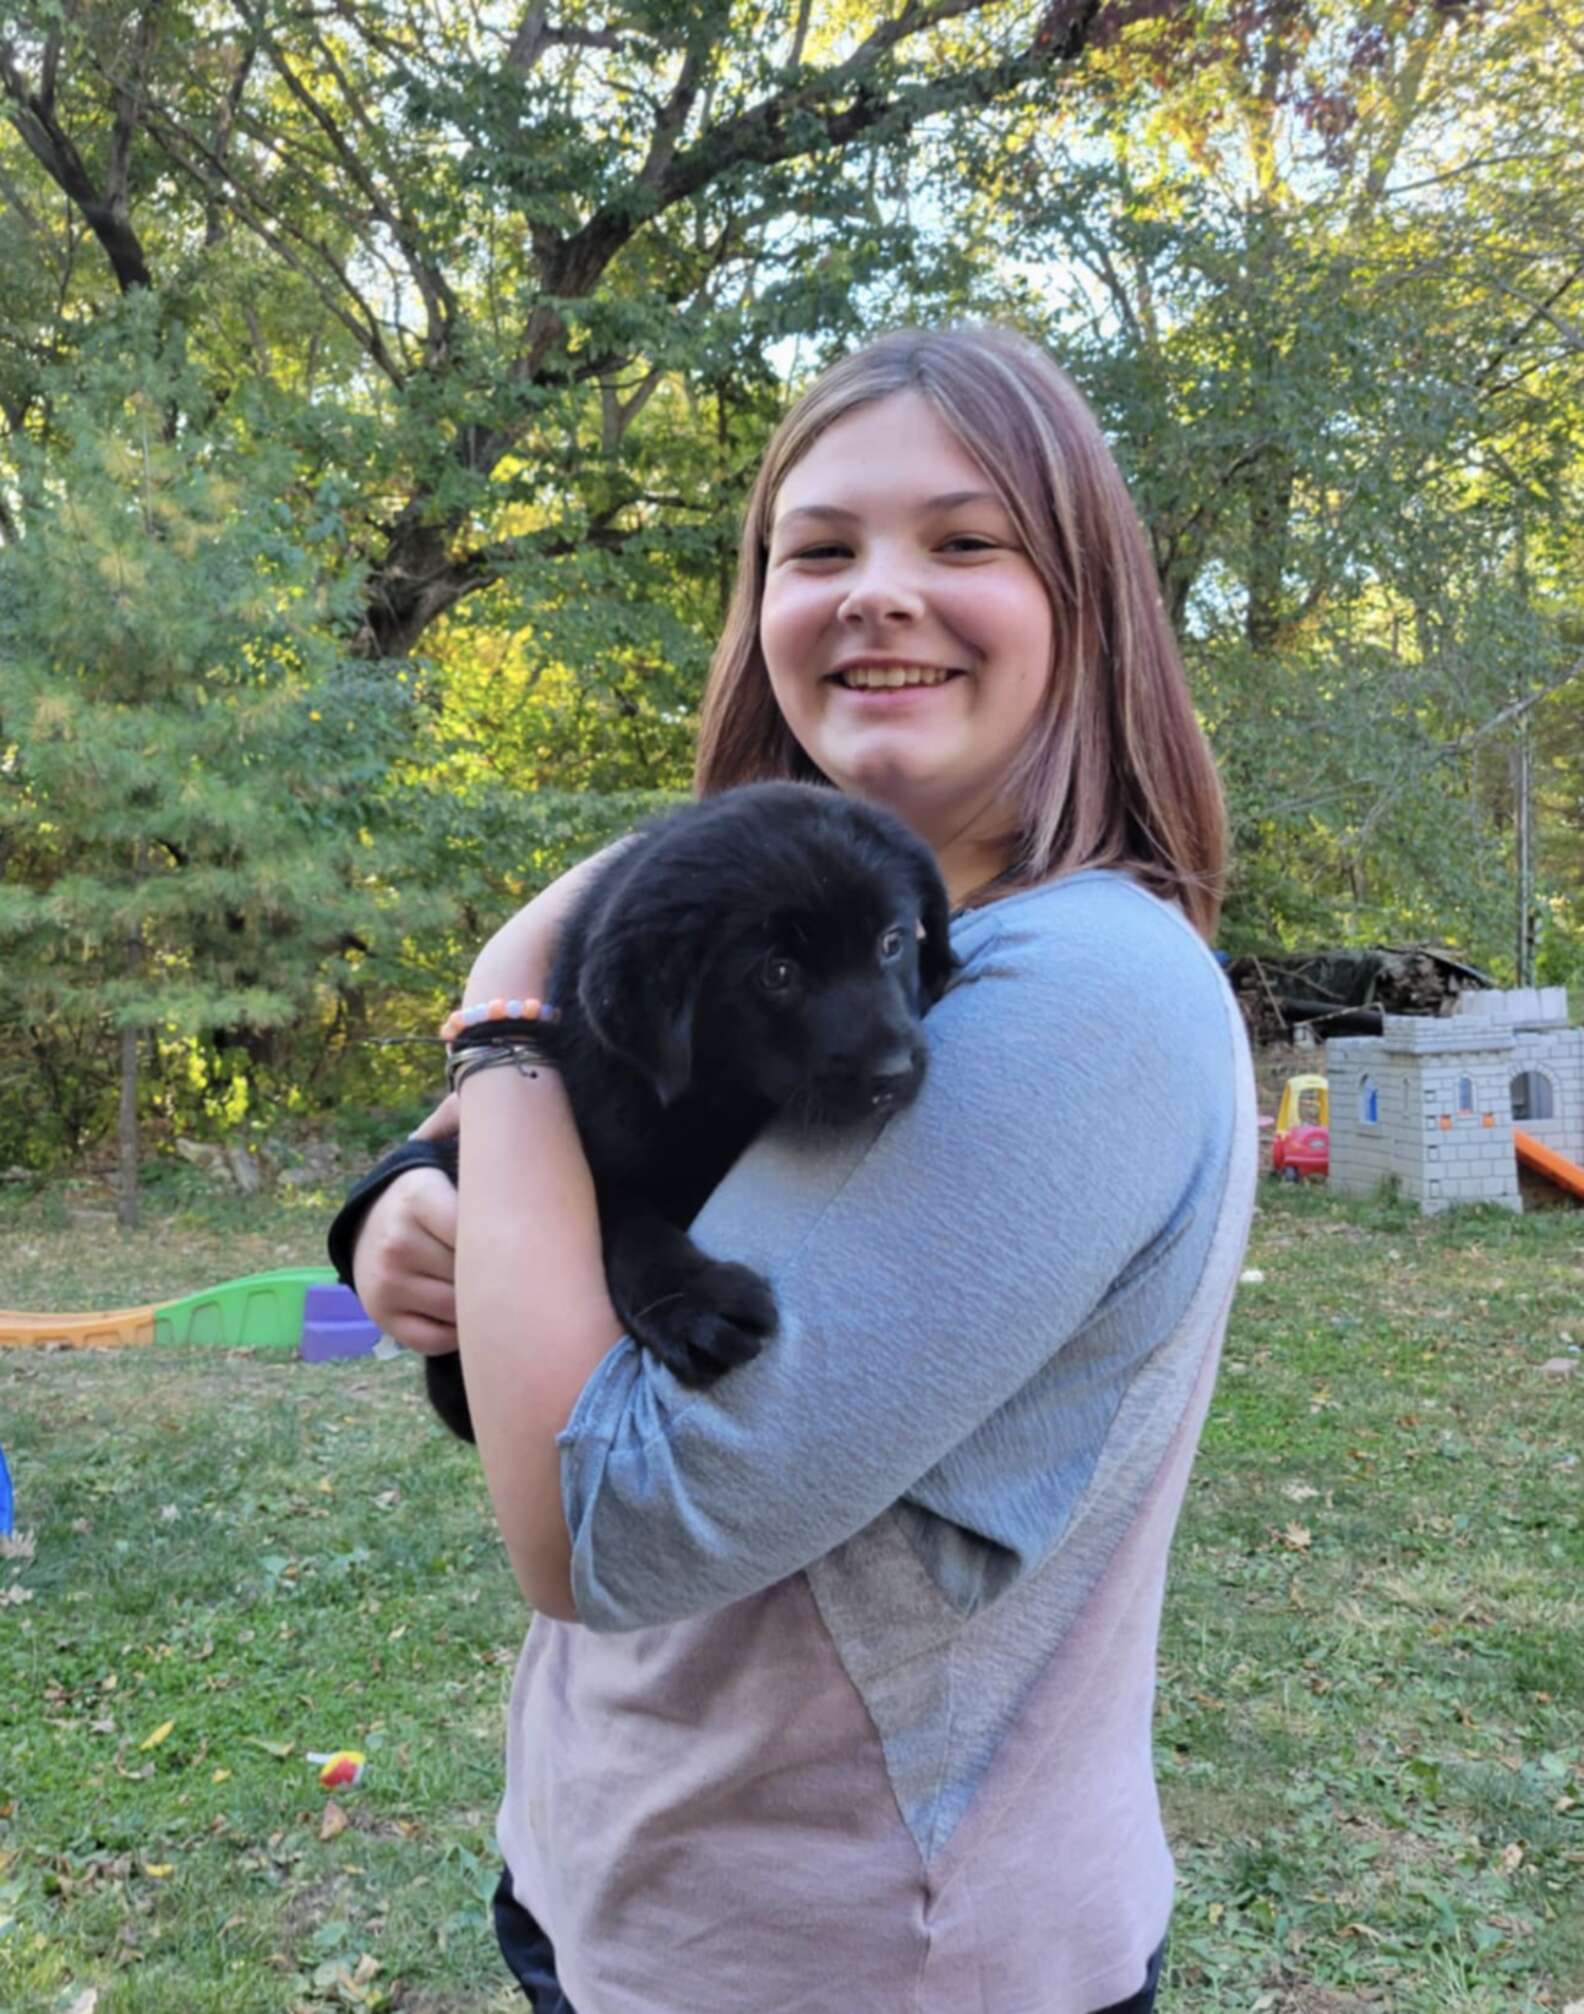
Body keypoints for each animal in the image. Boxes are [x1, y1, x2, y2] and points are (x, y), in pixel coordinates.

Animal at [419, 777, 951, 1442]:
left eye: (892, 942)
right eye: (777, 973)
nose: (894, 1074)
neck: (716, 1099)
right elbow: (618, 1219)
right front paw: (693, 1305)